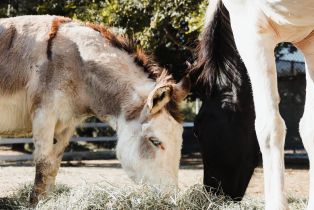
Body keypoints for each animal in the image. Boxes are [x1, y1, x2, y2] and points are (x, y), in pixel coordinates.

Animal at [205, 0, 314, 210]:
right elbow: (309, 128)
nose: (211, 192)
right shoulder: (310, 42)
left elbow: (269, 128)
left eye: (197, 132)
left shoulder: (250, 28)